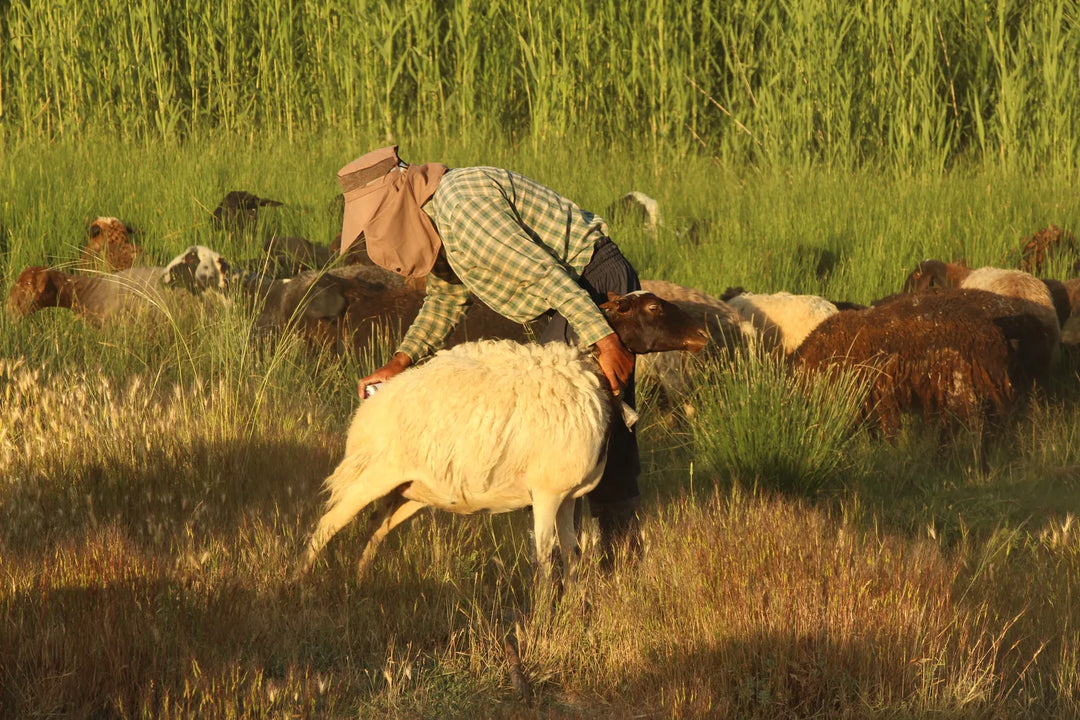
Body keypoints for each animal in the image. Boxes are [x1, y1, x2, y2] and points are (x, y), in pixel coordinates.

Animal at [298, 287, 708, 578]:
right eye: (652, 309)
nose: (703, 334)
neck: (593, 378)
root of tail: (375, 397)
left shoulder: (568, 496)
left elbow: (573, 555)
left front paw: (575, 611)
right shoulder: (545, 494)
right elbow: (545, 560)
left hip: (410, 490)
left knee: (377, 531)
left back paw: (359, 580)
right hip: (371, 474)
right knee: (325, 527)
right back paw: (302, 584)